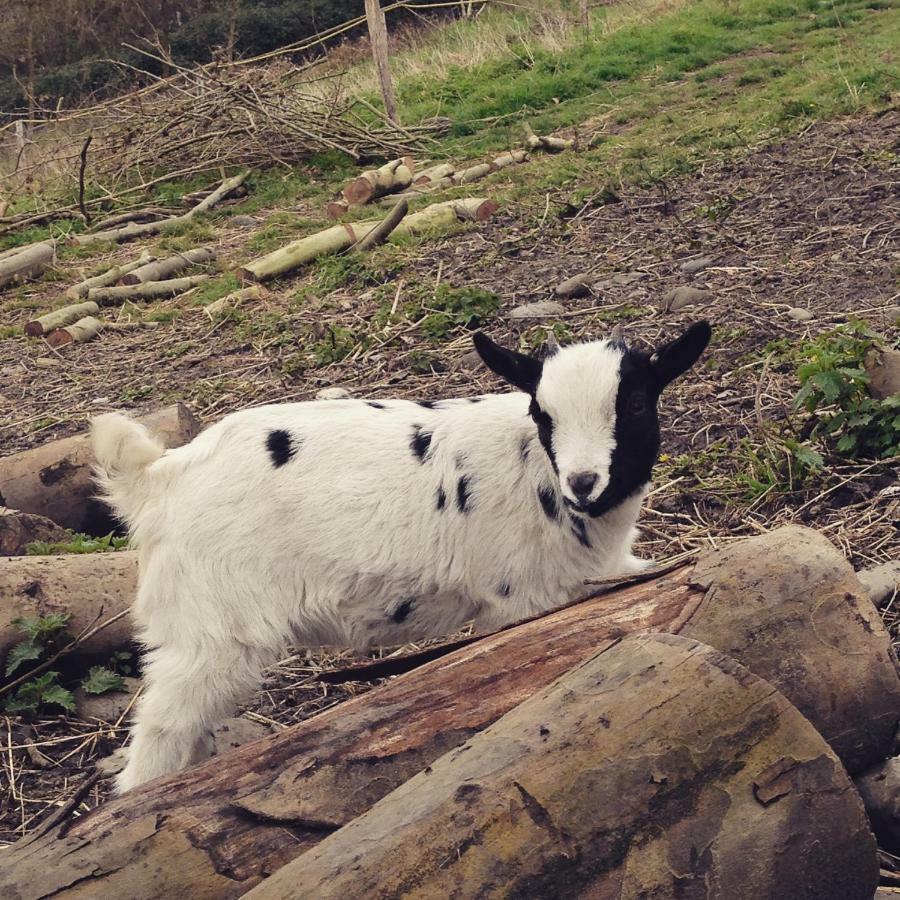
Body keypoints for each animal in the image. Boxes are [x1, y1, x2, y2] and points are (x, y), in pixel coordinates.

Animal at [91, 320, 712, 792]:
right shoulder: (524, 602)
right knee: (161, 732)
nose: (583, 483)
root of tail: (158, 479)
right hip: (210, 629)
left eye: (636, 402)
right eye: (542, 414)